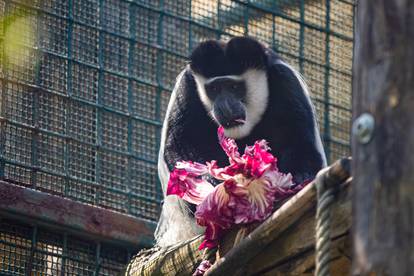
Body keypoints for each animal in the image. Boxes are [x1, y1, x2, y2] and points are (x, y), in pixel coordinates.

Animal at [155, 36, 326, 246]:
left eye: (234, 87)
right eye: (214, 89)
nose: (224, 105)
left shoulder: (286, 81)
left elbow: (299, 140)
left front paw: (297, 180)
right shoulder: (186, 88)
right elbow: (180, 142)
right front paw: (210, 187)